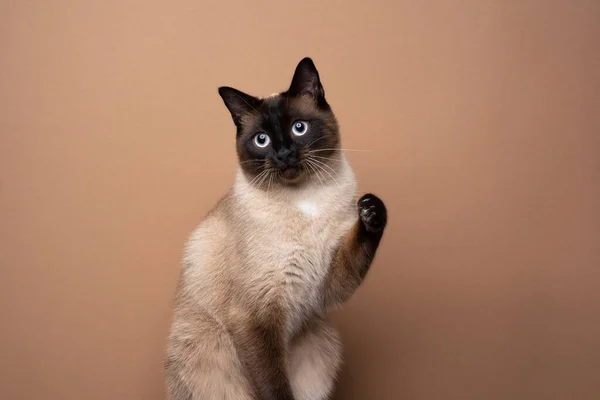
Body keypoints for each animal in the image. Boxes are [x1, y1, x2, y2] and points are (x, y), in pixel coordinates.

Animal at [165, 57, 390, 400]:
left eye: (299, 128)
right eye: (262, 140)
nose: (283, 154)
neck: (306, 199)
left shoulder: (328, 287)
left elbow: (356, 249)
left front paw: (371, 210)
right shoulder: (256, 317)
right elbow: (274, 386)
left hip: (322, 339)